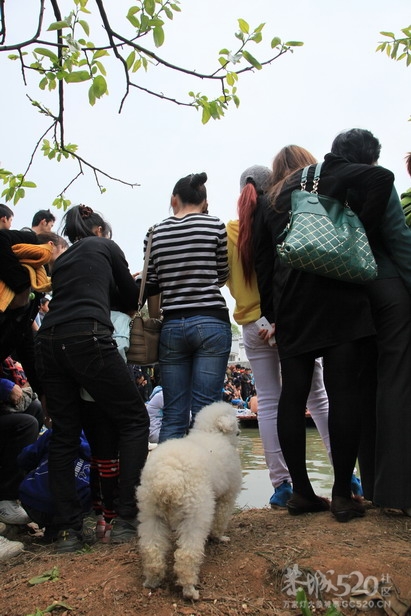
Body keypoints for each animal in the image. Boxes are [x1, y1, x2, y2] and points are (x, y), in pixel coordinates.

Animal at [137, 401, 242, 600]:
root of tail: (167, 477)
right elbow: (220, 519)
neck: (211, 432)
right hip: (195, 514)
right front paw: (219, 537)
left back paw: (152, 581)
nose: (240, 432)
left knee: (152, 549)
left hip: (150, 514)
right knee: (186, 555)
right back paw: (190, 590)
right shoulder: (227, 497)